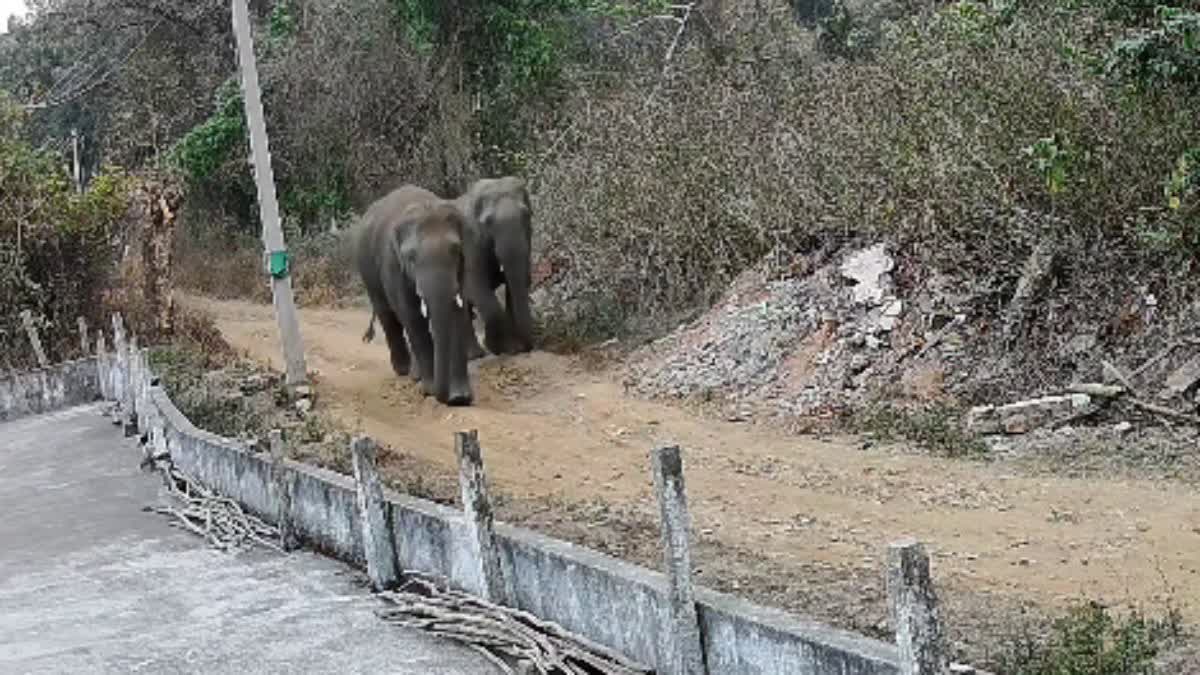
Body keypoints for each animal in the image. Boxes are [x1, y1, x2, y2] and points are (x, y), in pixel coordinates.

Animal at [354, 184, 475, 406]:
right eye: (411, 257)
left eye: (456, 250)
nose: (447, 398)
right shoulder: (393, 264)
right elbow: (412, 316)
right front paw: (430, 391)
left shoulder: (462, 268)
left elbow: (456, 313)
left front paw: (460, 397)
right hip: (367, 268)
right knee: (388, 315)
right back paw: (404, 371)